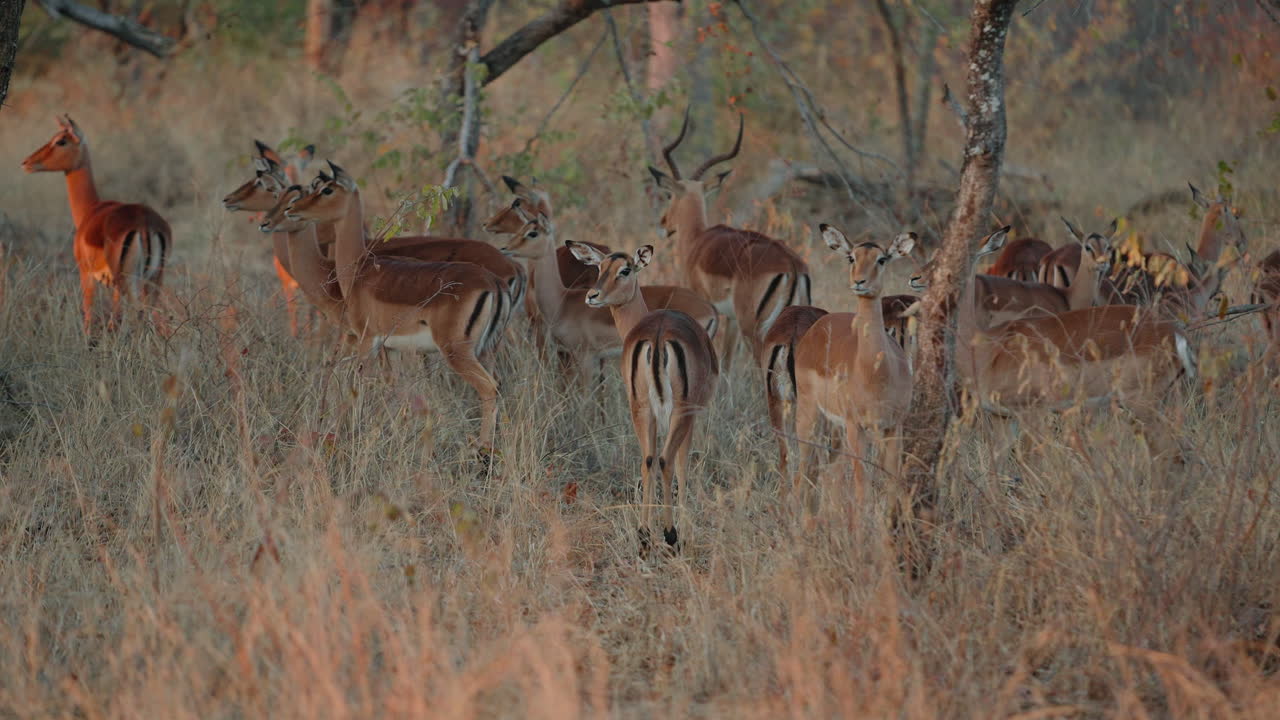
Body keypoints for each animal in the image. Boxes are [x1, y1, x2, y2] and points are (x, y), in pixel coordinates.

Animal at [22, 115, 171, 334]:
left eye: (60, 141)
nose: (27, 163)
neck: (91, 210)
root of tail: (145, 224)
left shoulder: (86, 273)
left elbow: (88, 314)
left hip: (127, 280)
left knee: (132, 315)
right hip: (154, 278)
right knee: (152, 315)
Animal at [285, 163, 512, 451]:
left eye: (326, 190)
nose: (292, 209)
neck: (360, 270)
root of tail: (494, 282)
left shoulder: (366, 340)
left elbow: (356, 385)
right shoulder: (390, 348)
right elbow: (392, 389)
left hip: (457, 352)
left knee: (489, 388)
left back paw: (482, 450)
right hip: (487, 350)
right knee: (499, 385)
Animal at [565, 240, 718, 554]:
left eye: (624, 270)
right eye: (599, 267)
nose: (592, 296)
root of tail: (658, 335)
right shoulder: (690, 415)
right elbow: (683, 464)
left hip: (640, 408)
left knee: (647, 459)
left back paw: (645, 536)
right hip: (677, 412)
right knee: (664, 460)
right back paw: (670, 535)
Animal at [649, 109, 811, 368]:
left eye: (668, 195)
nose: (663, 224)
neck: (697, 240)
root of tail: (792, 265)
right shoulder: (731, 319)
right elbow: (727, 360)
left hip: (753, 328)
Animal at [791, 226, 915, 498]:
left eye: (882, 259)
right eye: (851, 257)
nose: (859, 282)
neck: (875, 373)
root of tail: (817, 327)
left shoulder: (893, 426)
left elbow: (893, 482)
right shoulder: (855, 426)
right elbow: (862, 485)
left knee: (826, 472)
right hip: (810, 415)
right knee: (802, 470)